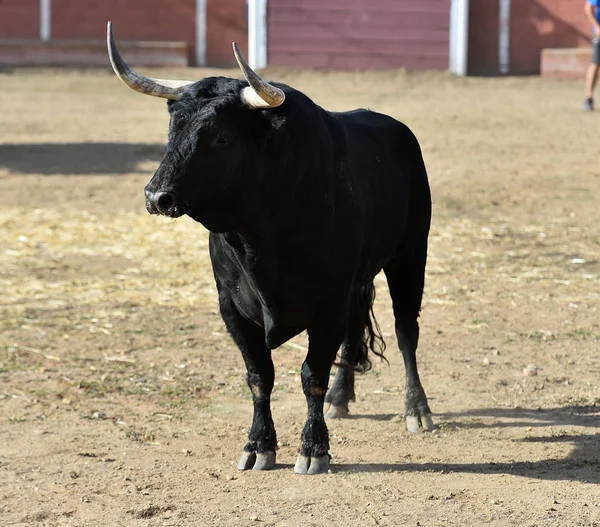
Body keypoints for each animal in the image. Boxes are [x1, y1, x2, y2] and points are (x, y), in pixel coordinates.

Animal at [108, 24, 434, 476]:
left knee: (406, 332)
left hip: (410, 255)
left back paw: (417, 410)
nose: (157, 197)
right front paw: (258, 445)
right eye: (173, 130)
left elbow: (311, 375)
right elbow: (259, 376)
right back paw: (340, 399)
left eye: (222, 137)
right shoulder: (232, 307)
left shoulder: (327, 304)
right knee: (357, 328)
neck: (260, 237)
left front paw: (314, 449)